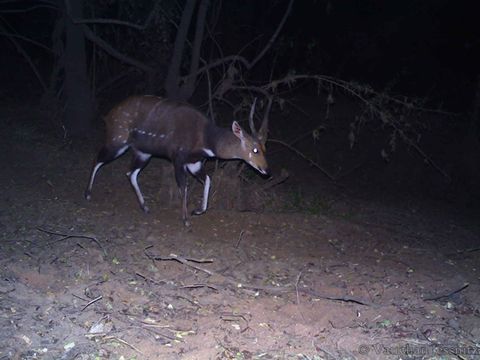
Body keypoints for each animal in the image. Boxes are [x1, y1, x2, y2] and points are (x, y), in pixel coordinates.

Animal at [85, 95, 272, 225]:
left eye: (265, 148)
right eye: (255, 149)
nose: (267, 170)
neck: (204, 138)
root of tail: (108, 116)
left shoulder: (194, 162)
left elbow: (208, 179)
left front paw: (197, 211)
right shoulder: (178, 157)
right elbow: (184, 185)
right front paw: (186, 219)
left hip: (142, 152)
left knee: (130, 172)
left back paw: (145, 207)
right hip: (118, 140)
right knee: (97, 159)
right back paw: (87, 194)